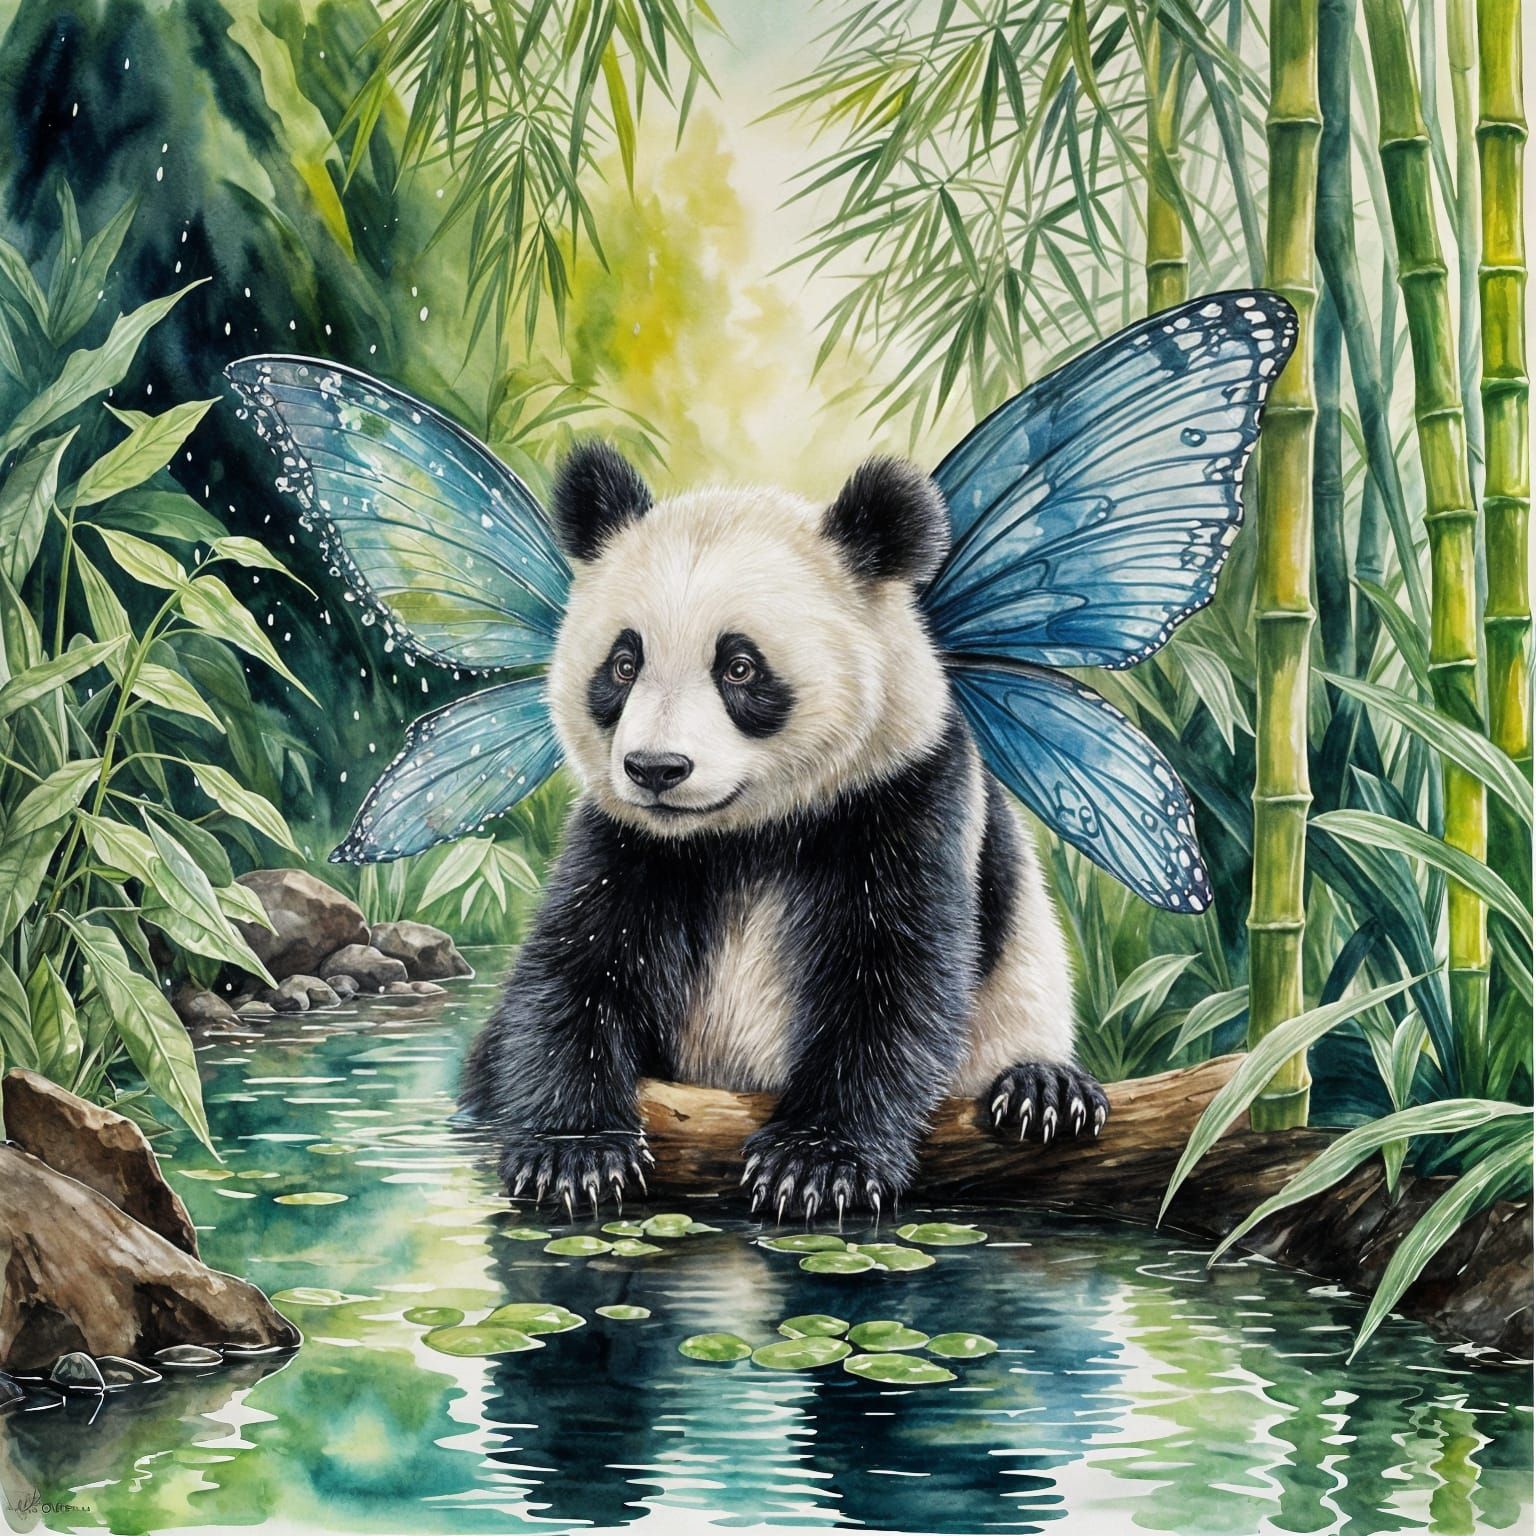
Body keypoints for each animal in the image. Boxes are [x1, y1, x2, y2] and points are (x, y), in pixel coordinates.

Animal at [460, 443, 1110, 1221]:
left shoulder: (906, 799)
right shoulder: (626, 842)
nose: (656, 769)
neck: (748, 834)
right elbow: (576, 971)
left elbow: (890, 981)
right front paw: (573, 1156)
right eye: (623, 663)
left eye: (740, 667)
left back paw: (1045, 1092)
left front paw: (815, 1164)